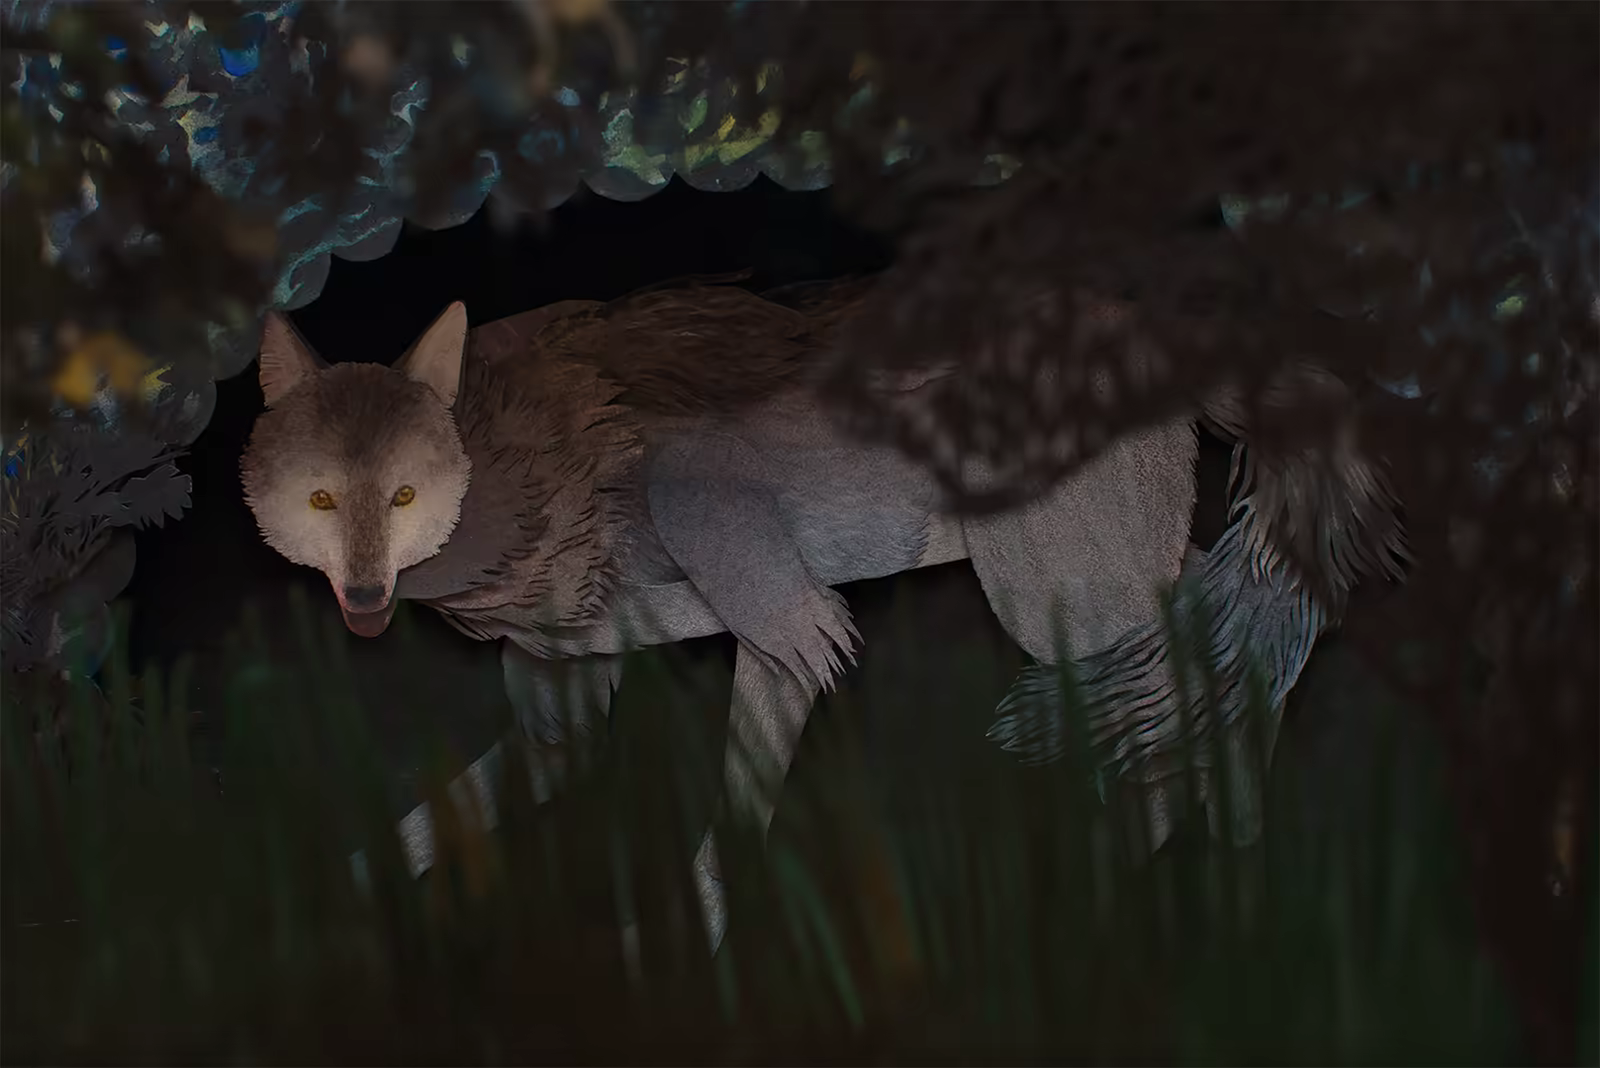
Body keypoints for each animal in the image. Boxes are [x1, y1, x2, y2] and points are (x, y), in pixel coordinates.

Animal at [241, 278, 1403, 946]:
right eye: (320, 497)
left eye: (402, 495)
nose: (362, 597)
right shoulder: (563, 705)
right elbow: (423, 828)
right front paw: (317, 920)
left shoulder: (781, 600)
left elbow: (732, 817)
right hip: (1117, 591)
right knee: (1239, 662)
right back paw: (1237, 878)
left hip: (1061, 609)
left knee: (1195, 695)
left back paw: (1111, 905)